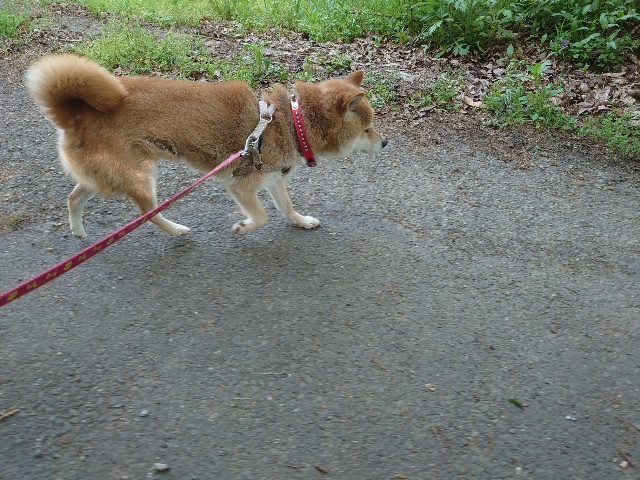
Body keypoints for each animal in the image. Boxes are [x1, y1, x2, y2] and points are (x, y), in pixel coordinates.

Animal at [26, 54, 387, 238]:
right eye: (367, 129)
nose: (385, 141)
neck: (292, 121)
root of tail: (75, 113)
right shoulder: (242, 186)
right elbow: (261, 217)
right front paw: (243, 226)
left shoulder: (274, 181)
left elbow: (287, 208)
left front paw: (301, 222)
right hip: (141, 178)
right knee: (147, 214)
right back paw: (176, 230)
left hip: (105, 178)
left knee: (73, 198)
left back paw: (78, 232)